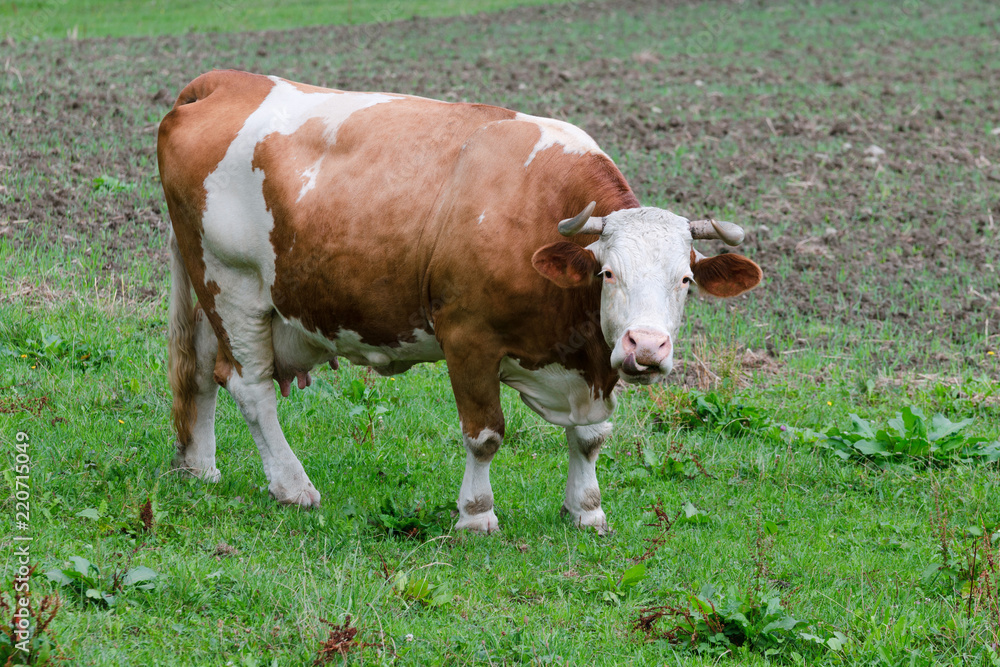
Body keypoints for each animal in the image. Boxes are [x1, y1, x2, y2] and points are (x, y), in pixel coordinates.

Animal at [158, 70, 764, 536]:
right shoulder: (468, 337)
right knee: (249, 387)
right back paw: (292, 486)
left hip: (211, 289)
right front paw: (476, 515)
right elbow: (486, 434)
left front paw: (586, 510)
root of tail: (223, 81)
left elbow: (590, 438)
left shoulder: (593, 365)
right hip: (233, 285)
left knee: (201, 373)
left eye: (684, 279)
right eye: (608, 272)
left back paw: (200, 467)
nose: (647, 347)